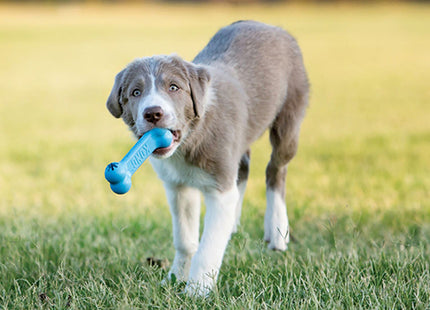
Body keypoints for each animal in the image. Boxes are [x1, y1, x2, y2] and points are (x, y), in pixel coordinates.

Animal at [107, 20, 310, 296]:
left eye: (174, 87)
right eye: (135, 92)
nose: (153, 113)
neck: (189, 140)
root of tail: (272, 26)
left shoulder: (219, 188)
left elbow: (209, 245)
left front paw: (197, 290)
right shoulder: (178, 186)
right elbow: (185, 239)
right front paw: (176, 277)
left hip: (290, 114)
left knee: (276, 168)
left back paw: (277, 230)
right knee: (243, 168)